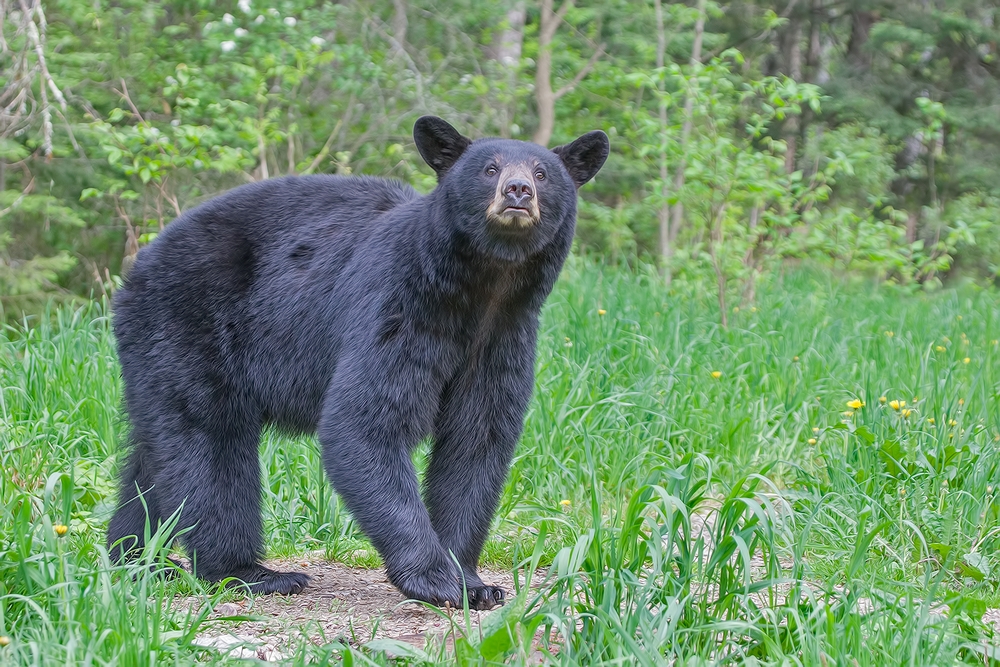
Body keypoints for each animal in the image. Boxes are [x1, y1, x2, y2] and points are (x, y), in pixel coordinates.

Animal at [109, 116, 608, 612]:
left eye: (543, 173)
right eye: (490, 168)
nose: (518, 190)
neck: (481, 288)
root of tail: (138, 267)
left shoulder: (504, 337)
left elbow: (477, 439)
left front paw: (473, 581)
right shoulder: (401, 303)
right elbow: (365, 422)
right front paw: (434, 579)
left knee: (154, 456)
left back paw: (137, 560)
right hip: (189, 323)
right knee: (209, 439)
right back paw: (246, 571)